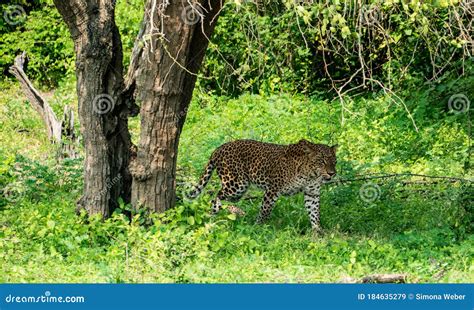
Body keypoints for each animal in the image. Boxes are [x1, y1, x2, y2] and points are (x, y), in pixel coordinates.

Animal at [187, 139, 338, 231]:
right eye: (321, 161)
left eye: (334, 161)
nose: (332, 173)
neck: (310, 175)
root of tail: (217, 149)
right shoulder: (273, 189)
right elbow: (265, 210)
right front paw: (258, 226)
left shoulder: (312, 193)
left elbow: (314, 212)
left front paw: (317, 230)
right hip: (236, 184)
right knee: (215, 196)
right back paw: (213, 216)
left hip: (237, 191)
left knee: (221, 198)